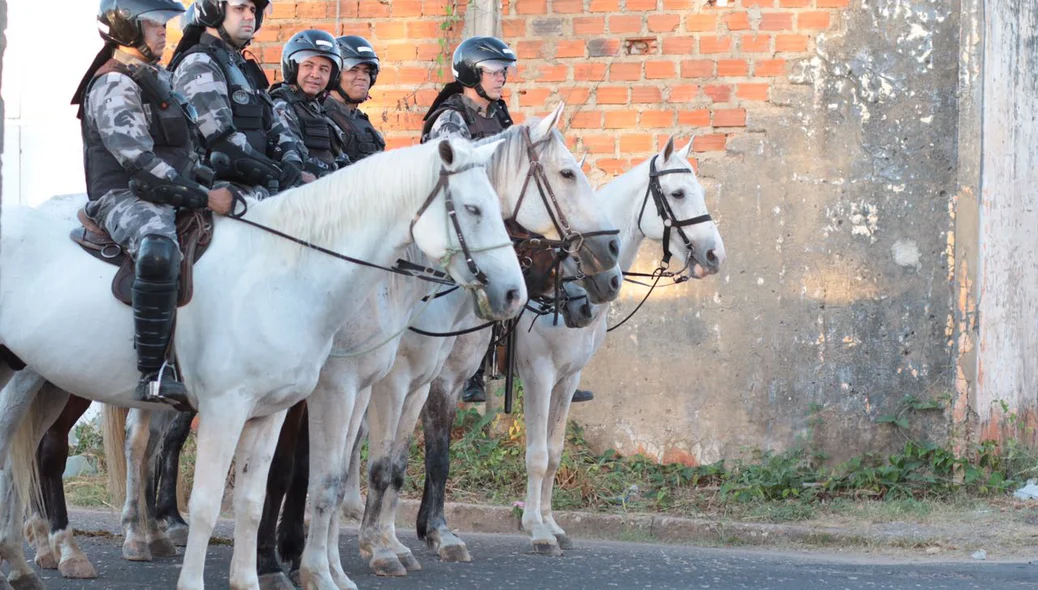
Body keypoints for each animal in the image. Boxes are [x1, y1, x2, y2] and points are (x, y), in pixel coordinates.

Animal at [0, 135, 523, 590]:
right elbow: (211, 502)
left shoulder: (272, 412)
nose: (513, 294)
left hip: (31, 382)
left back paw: (24, 565)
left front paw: (255, 578)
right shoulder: (233, 408)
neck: (282, 273)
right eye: (473, 209)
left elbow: (255, 499)